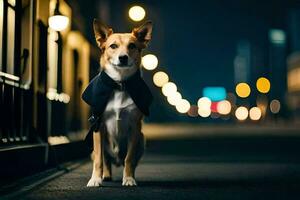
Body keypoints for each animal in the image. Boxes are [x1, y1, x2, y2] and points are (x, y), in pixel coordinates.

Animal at [86, 19, 154, 187]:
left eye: (132, 46)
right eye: (113, 46)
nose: (123, 57)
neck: (119, 84)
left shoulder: (135, 128)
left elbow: (129, 159)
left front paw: (129, 178)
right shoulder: (98, 126)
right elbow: (99, 159)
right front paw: (95, 179)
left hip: (142, 140)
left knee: (128, 160)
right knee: (106, 160)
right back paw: (105, 175)